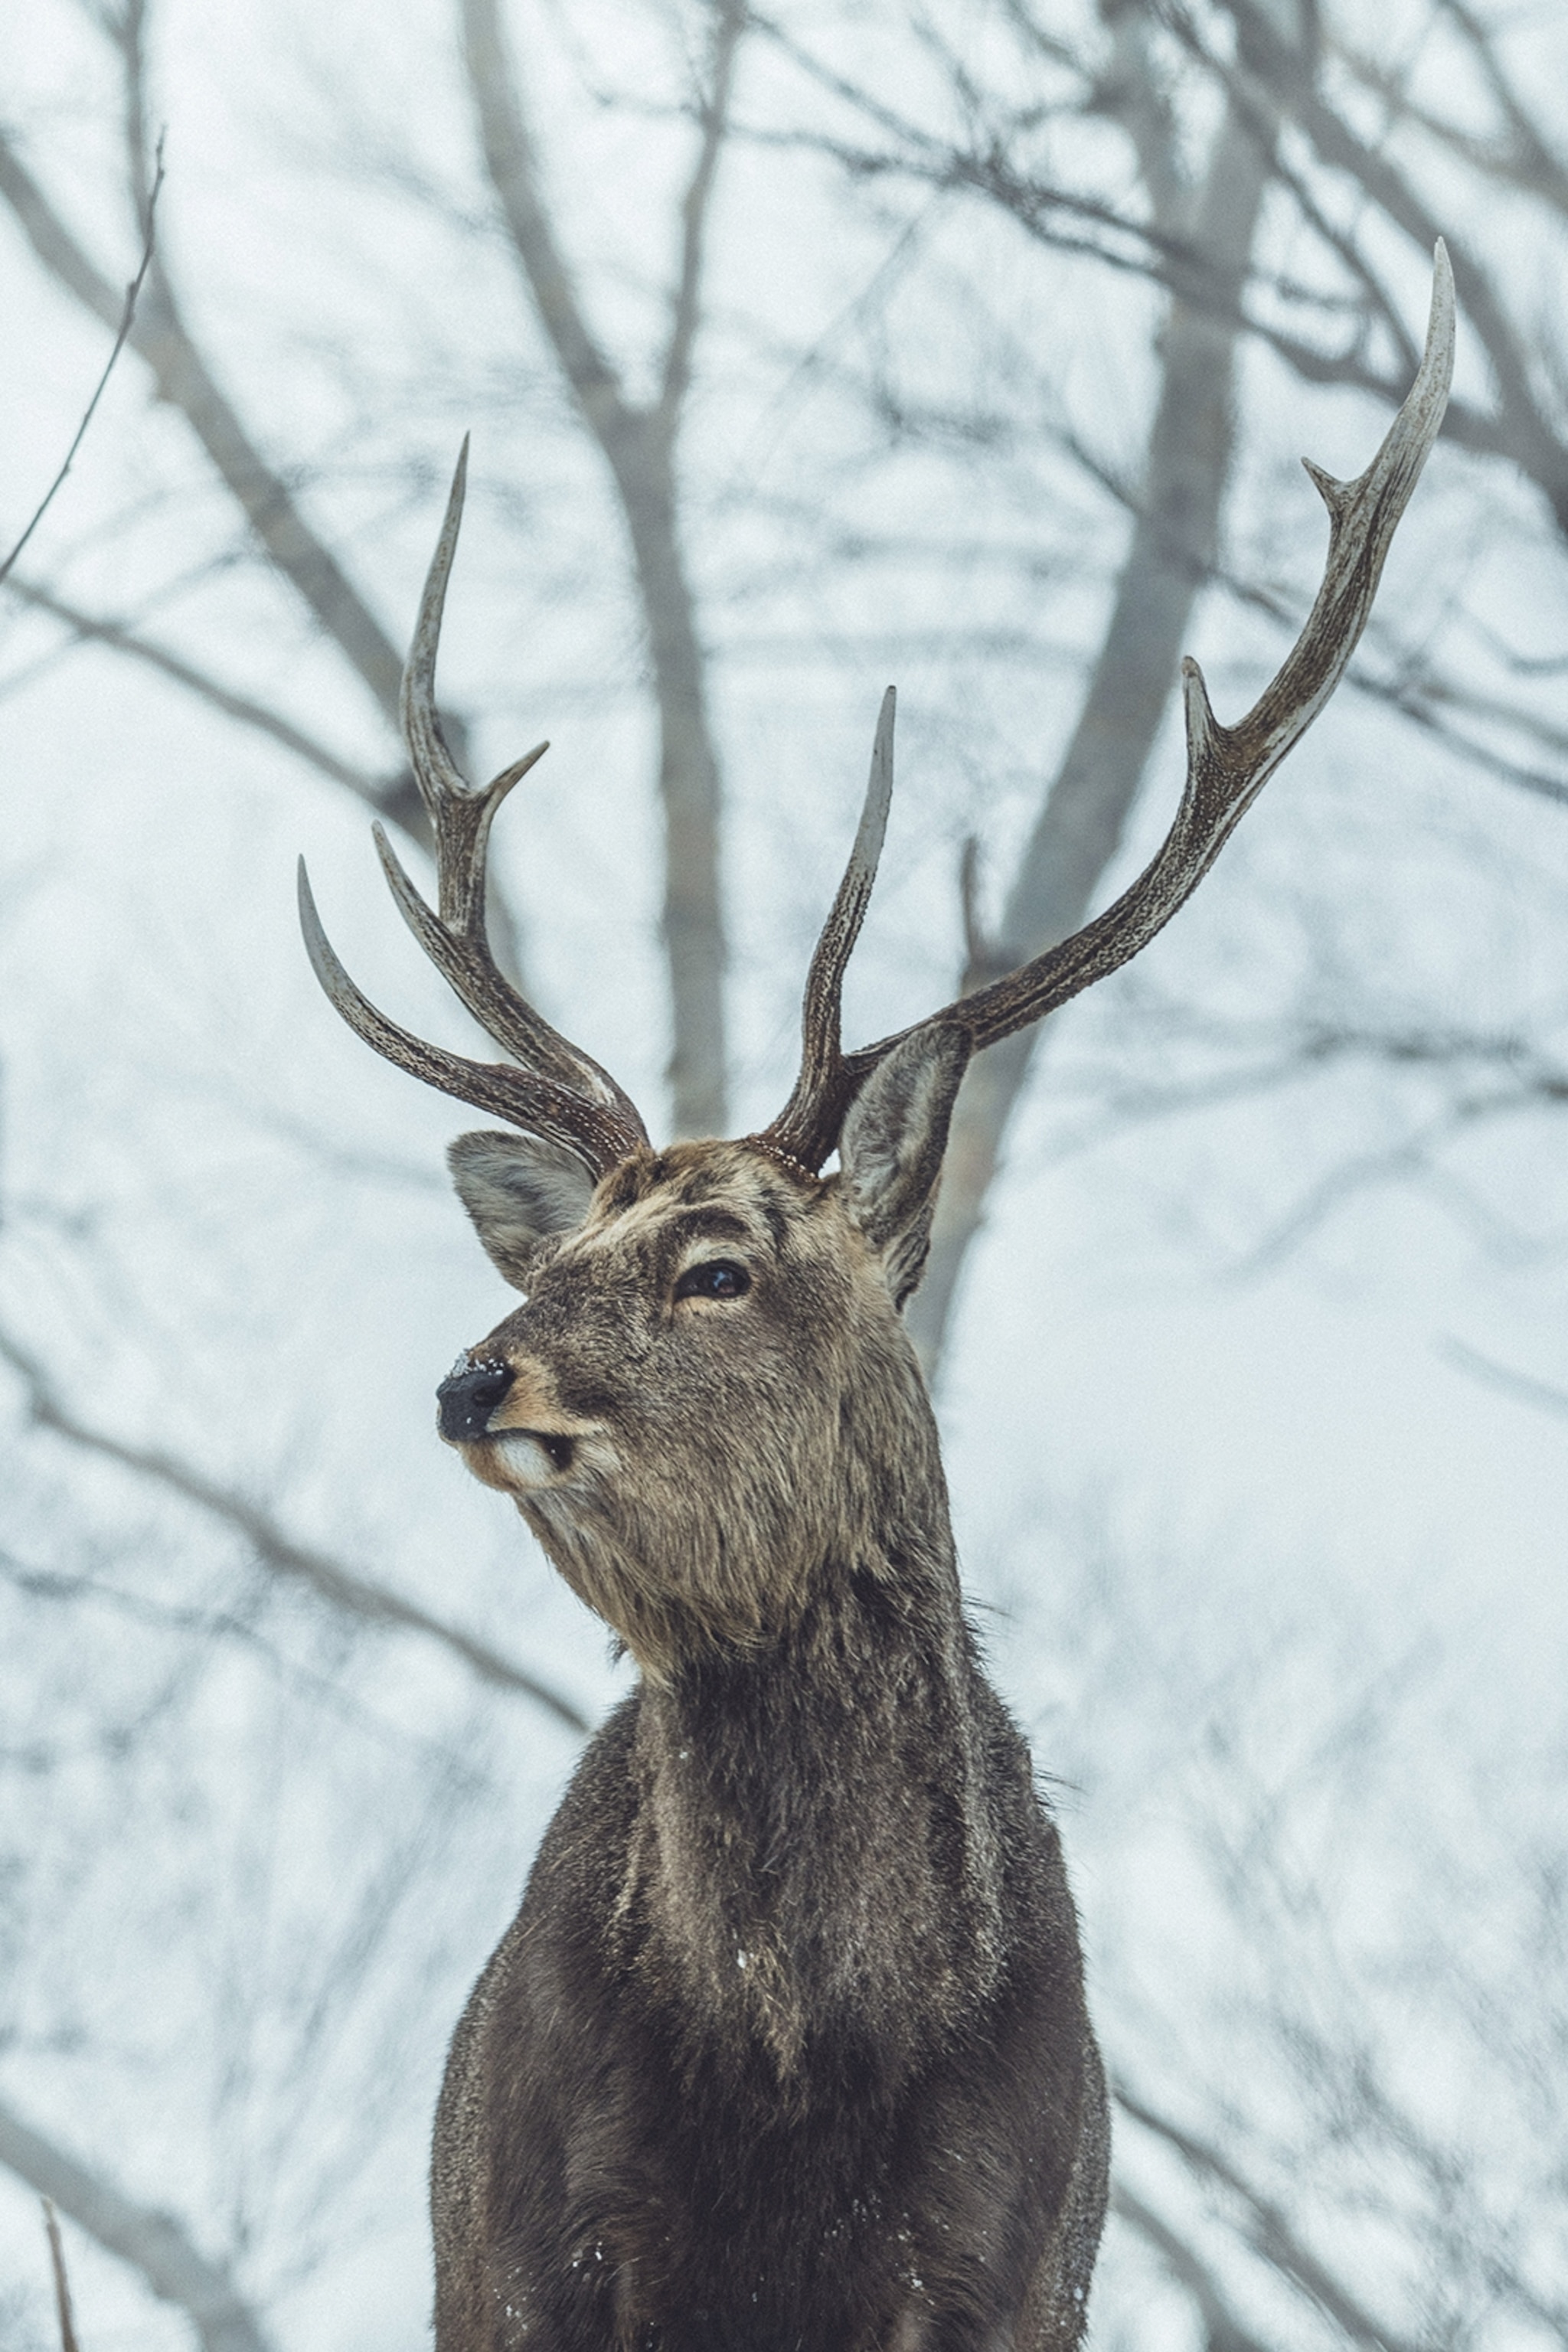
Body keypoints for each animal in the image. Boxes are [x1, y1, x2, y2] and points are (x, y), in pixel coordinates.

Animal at [296, 250, 1452, 2352]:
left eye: (720, 1259)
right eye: (558, 1250)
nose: (473, 1378)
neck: (800, 2073)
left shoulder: (1006, 2266)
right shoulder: (533, 2254)